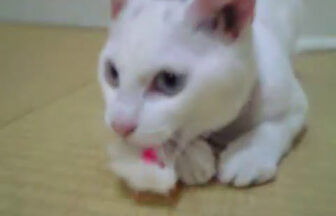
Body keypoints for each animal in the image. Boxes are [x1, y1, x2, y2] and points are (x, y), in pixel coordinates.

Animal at [97, 0, 308, 194]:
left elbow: (275, 125)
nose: (119, 126)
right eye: (112, 72)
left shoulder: (296, 102)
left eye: (169, 80)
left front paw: (249, 154)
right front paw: (191, 157)